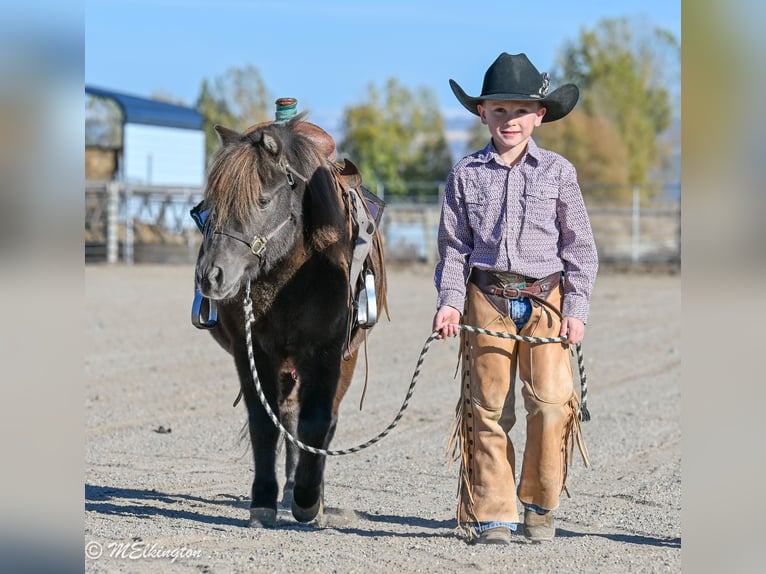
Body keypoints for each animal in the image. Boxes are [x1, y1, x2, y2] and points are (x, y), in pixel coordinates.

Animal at [193, 113, 387, 528]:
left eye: (262, 200)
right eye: (208, 207)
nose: (211, 275)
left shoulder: (328, 351)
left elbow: (318, 422)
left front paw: (308, 500)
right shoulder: (250, 350)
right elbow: (264, 423)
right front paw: (264, 500)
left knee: (322, 420)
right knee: (288, 413)